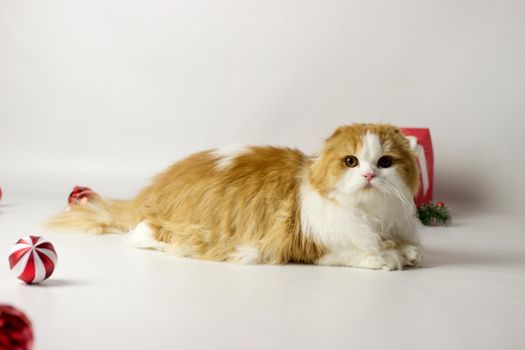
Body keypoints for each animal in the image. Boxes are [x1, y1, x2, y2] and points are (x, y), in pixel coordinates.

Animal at [48, 123, 422, 270]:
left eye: (385, 162)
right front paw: (386, 257)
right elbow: (353, 251)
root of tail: (155, 188)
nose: (369, 175)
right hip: (180, 228)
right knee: (142, 234)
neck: (370, 213)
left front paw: (406, 251)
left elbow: (400, 244)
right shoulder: (307, 242)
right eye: (351, 162)